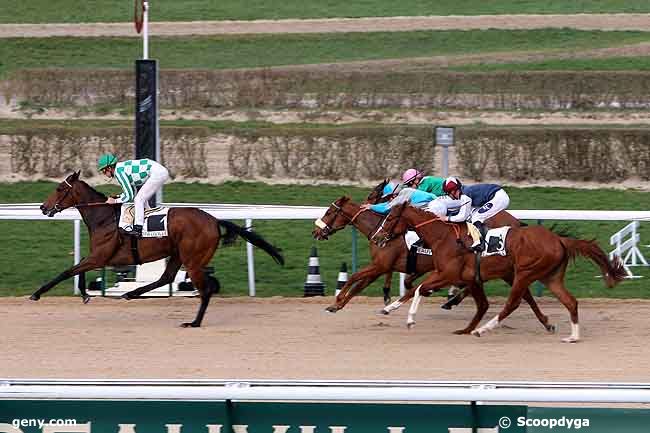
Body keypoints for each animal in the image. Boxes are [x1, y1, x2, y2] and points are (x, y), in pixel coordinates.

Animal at [32, 170, 280, 326]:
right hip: (178, 254)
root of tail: (214, 220)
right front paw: (85, 294)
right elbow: (78, 270)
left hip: (193, 260)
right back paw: (131, 293)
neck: (104, 217)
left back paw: (194, 322)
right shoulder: (98, 257)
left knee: (205, 290)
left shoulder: (101, 257)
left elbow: (68, 271)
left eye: (58, 189)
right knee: (166, 278)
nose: (43, 207)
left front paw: (37, 293)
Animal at [312, 196, 552, 334]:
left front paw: (337, 300)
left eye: (330, 212)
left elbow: (354, 278)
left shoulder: (381, 265)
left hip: (504, 269)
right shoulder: (383, 266)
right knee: (522, 293)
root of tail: (516, 223)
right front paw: (337, 305)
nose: (316, 231)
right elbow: (361, 284)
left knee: (520, 293)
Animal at [374, 202, 628, 340]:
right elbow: (417, 289)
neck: (443, 237)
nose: (377, 237)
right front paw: (390, 308)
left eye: (390, 217)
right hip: (549, 276)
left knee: (513, 303)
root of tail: (559, 239)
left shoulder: (449, 274)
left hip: (525, 272)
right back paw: (570, 335)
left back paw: (482, 330)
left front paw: (409, 320)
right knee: (569, 301)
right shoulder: (462, 276)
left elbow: (419, 289)